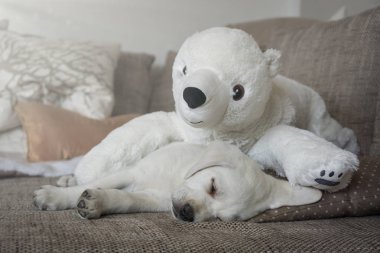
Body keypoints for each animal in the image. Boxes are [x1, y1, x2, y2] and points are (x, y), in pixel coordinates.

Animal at [34, 141, 322, 222]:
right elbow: (93, 184)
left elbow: (125, 199)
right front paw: (55, 197)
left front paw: (101, 202)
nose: (187, 214)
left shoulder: (154, 200)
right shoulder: (132, 172)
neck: (177, 177)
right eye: (213, 186)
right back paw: (66, 179)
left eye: (220, 219)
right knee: (87, 175)